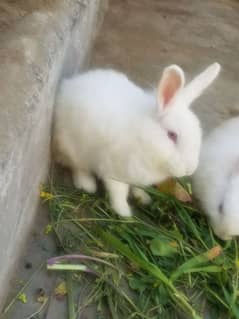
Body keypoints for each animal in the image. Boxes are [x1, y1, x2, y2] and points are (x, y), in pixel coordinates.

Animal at [53, 62, 220, 218]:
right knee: (77, 166)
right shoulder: (113, 171)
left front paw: (143, 198)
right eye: (172, 135)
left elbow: (137, 187)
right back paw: (87, 184)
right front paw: (124, 213)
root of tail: (67, 86)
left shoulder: (137, 177)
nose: (189, 169)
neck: (144, 138)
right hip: (72, 147)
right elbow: (118, 192)